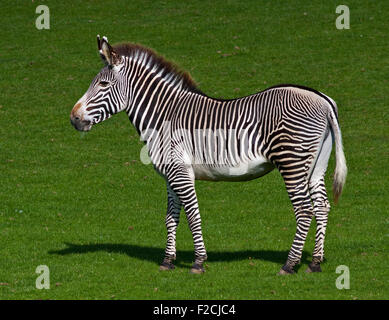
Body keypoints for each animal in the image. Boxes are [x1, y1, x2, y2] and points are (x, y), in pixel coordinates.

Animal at [69, 35, 346, 276]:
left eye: (103, 84)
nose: (74, 118)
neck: (164, 115)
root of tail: (323, 100)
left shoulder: (180, 172)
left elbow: (192, 214)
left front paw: (199, 262)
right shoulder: (170, 174)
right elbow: (171, 217)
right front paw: (168, 261)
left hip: (292, 162)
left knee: (305, 210)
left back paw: (289, 265)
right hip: (315, 165)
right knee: (322, 206)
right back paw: (315, 262)